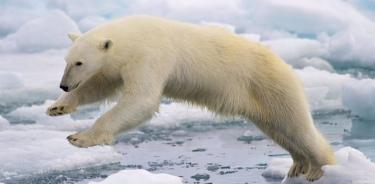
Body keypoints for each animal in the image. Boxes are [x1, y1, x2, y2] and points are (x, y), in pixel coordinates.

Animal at [46, 15, 334, 181]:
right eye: (66, 60)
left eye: (79, 62)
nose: (64, 85)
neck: (133, 35)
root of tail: (283, 64)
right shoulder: (117, 65)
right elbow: (100, 86)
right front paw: (57, 107)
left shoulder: (150, 55)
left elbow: (141, 100)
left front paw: (79, 137)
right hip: (261, 100)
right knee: (278, 129)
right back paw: (298, 165)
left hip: (271, 85)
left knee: (297, 126)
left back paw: (319, 168)